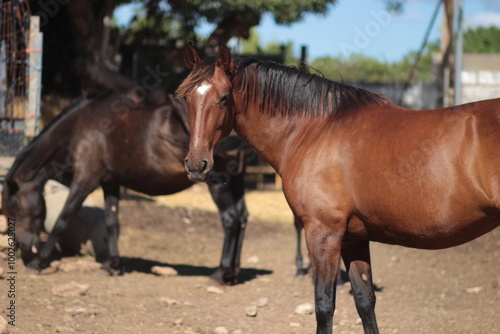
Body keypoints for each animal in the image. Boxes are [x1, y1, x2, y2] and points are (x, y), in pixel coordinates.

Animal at [0, 91, 249, 284]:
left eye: (15, 210)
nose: (23, 248)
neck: (83, 124)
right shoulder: (110, 182)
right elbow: (112, 222)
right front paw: (112, 264)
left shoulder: (85, 180)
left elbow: (63, 220)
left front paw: (38, 262)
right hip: (235, 182)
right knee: (242, 217)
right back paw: (233, 273)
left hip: (219, 184)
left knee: (230, 220)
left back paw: (220, 274)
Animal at [177, 44, 500, 334]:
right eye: (186, 98)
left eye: (224, 97)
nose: (196, 163)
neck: (315, 130)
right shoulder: (354, 238)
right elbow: (364, 301)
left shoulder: (323, 233)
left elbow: (324, 306)